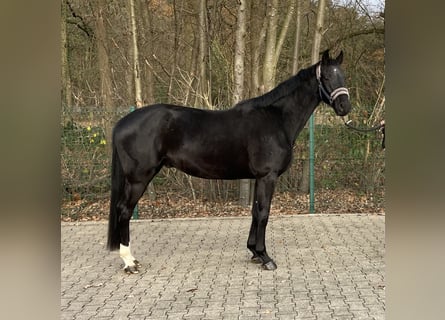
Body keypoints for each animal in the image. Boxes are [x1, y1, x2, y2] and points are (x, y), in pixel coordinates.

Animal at [106, 49, 350, 272]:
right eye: (326, 77)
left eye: (343, 76)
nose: (345, 107)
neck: (276, 119)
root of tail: (122, 122)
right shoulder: (268, 177)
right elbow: (264, 213)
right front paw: (265, 257)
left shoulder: (258, 178)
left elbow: (255, 212)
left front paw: (254, 251)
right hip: (139, 178)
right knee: (124, 210)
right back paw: (130, 262)